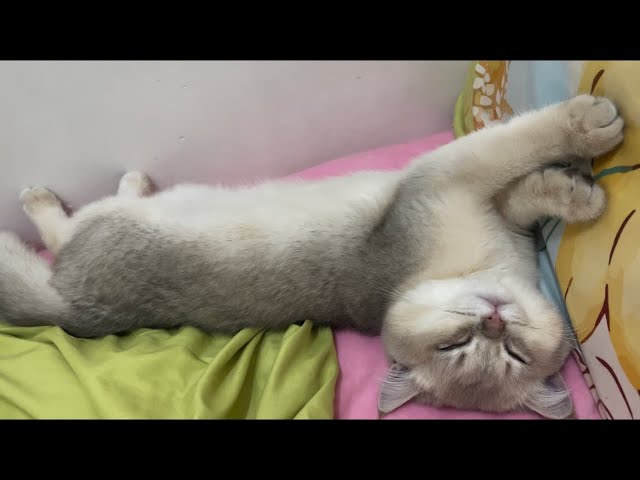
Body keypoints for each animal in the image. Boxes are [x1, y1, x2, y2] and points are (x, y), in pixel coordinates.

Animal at [0, 93, 624, 416]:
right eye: (455, 346)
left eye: (514, 354)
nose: (495, 321)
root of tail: (73, 312)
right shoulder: (439, 181)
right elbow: (507, 148)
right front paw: (584, 136)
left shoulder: (478, 204)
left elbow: (515, 194)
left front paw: (571, 194)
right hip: (106, 228)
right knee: (61, 233)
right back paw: (52, 198)